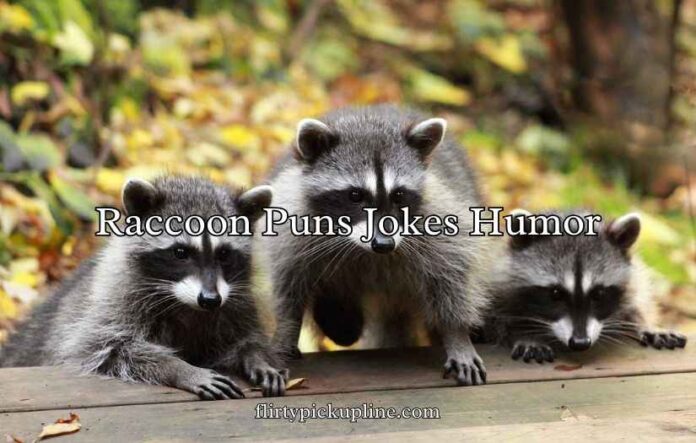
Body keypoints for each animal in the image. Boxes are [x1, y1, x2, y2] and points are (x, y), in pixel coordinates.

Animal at [0, 176, 289, 398]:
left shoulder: (237, 301)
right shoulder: (116, 299)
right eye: (180, 253)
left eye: (225, 254)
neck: (185, 304)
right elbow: (110, 348)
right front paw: (180, 368)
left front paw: (256, 356)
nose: (210, 299)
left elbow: (245, 337)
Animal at [263, 105, 497, 386]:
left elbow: (451, 276)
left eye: (399, 195)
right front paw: (286, 331)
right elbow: (289, 287)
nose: (384, 243)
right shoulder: (290, 225)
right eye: (355, 195)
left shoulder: (441, 220)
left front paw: (456, 335)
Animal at [484, 210, 687, 363]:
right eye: (555, 293)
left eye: (598, 294)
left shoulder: (634, 275)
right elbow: (497, 318)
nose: (580, 342)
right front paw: (526, 334)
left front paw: (647, 323)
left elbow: (637, 296)